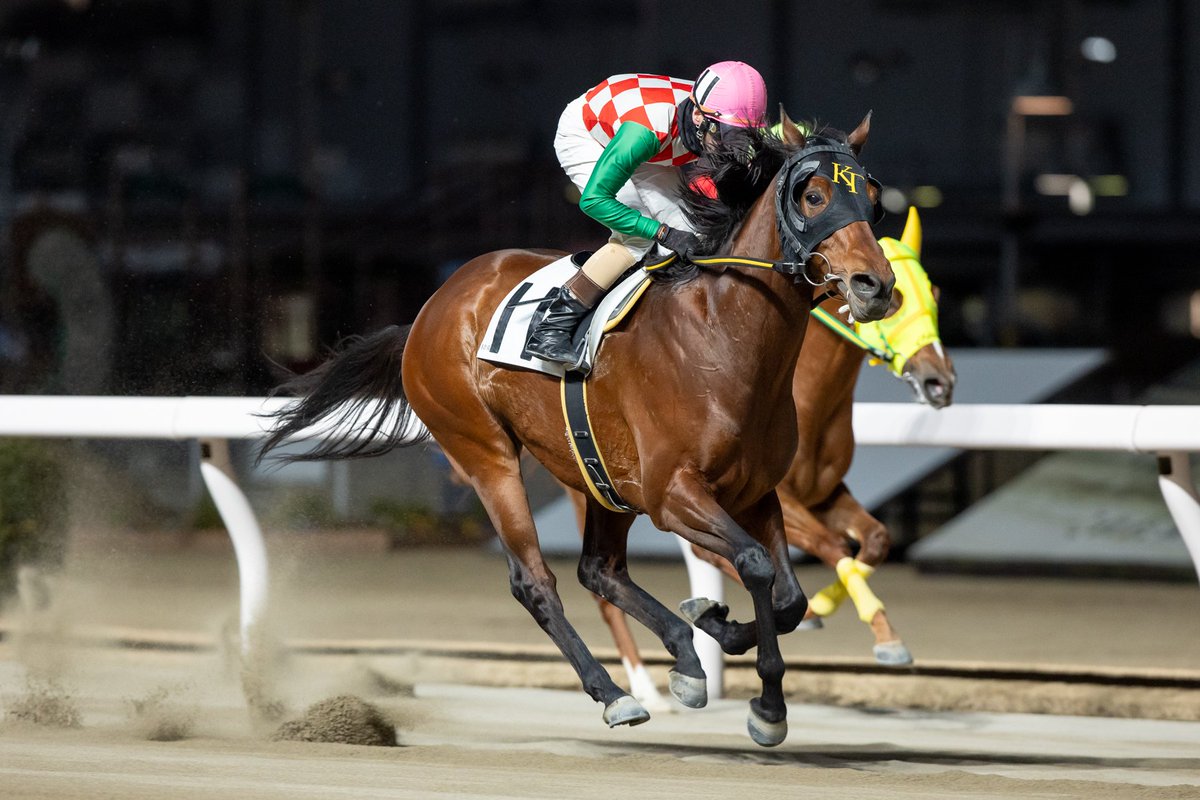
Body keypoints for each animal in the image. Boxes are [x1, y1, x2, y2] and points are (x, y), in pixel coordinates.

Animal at [259, 111, 894, 747]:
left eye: (873, 198)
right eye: (813, 195)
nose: (876, 286)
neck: (723, 337)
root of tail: (431, 308)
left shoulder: (757, 493)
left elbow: (788, 598)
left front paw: (736, 653)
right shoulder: (673, 494)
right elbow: (757, 566)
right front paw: (759, 699)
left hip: (604, 478)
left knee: (601, 570)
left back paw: (687, 653)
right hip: (486, 452)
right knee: (536, 581)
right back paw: (615, 694)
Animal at [579, 206, 955, 709]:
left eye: (934, 292)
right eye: (894, 300)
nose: (940, 381)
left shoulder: (822, 493)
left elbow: (875, 539)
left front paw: (855, 619)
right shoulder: (774, 497)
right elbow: (831, 546)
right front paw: (858, 623)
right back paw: (642, 688)